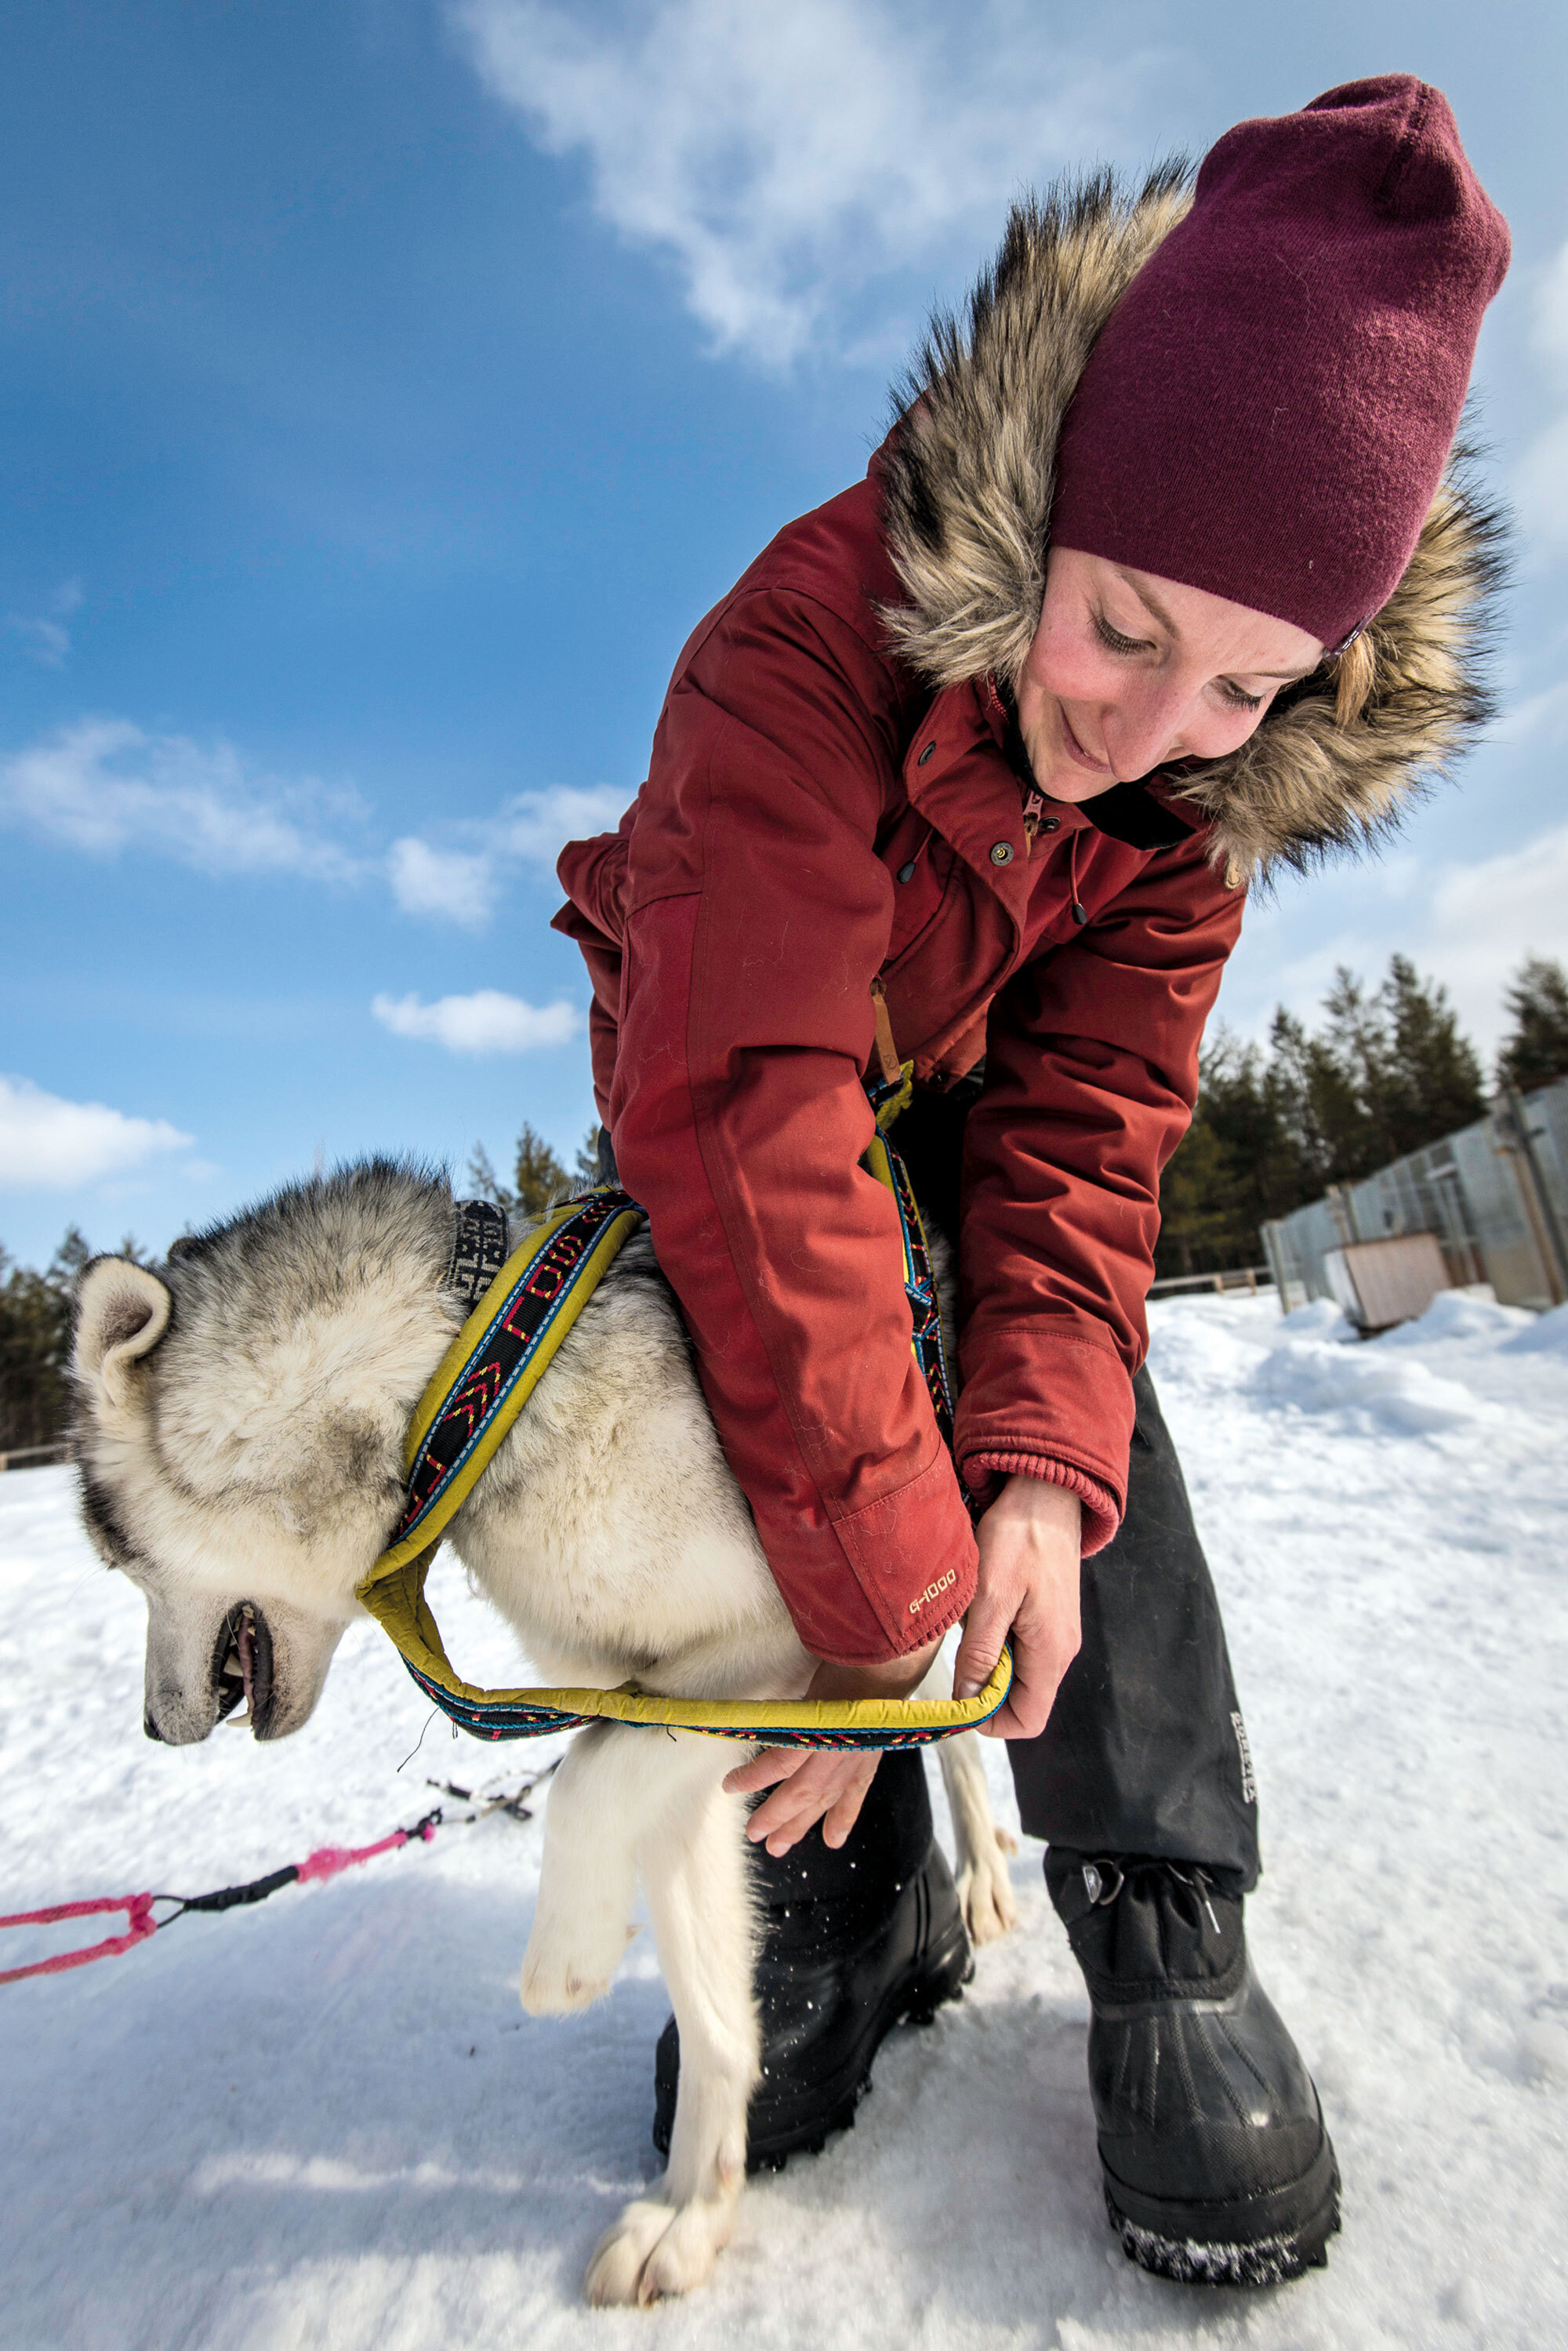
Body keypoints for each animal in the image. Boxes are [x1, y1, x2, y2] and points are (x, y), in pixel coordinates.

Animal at [76, 1166, 1020, 2304]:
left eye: (117, 1555)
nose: (151, 1726)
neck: (461, 1382)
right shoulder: (665, 1714)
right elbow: (711, 2006)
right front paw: (693, 2212)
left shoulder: (770, 1653)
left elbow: (580, 1782)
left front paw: (569, 1952)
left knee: (957, 1721)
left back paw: (983, 1878)